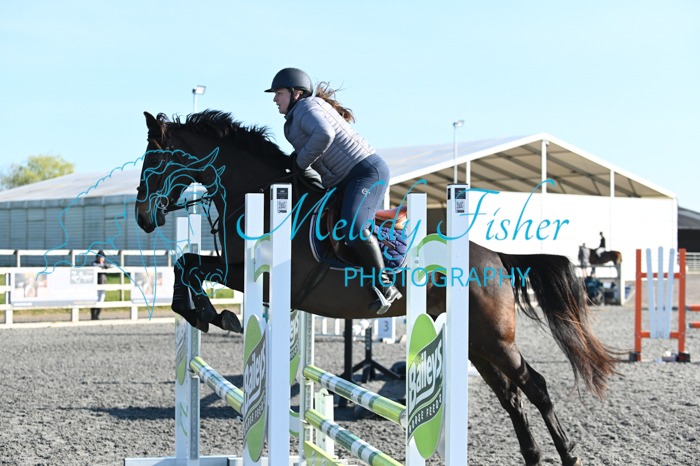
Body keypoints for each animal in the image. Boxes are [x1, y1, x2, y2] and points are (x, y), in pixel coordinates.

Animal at [135, 110, 618, 466]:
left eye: (153, 161)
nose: (143, 217)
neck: (257, 195)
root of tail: (494, 257)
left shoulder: (258, 275)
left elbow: (193, 267)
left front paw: (215, 314)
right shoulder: (241, 272)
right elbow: (187, 265)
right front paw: (207, 313)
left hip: (495, 337)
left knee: (535, 386)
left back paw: (568, 455)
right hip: (475, 344)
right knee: (512, 398)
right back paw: (534, 457)